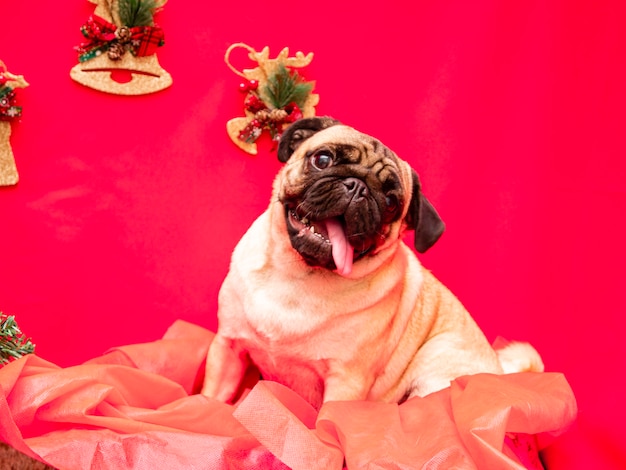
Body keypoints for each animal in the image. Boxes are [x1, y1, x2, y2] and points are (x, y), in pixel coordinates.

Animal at [201, 116, 540, 408]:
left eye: (391, 203)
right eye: (322, 159)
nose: (357, 186)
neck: (297, 275)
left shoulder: (345, 383)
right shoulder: (227, 348)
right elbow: (211, 396)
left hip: (438, 360)